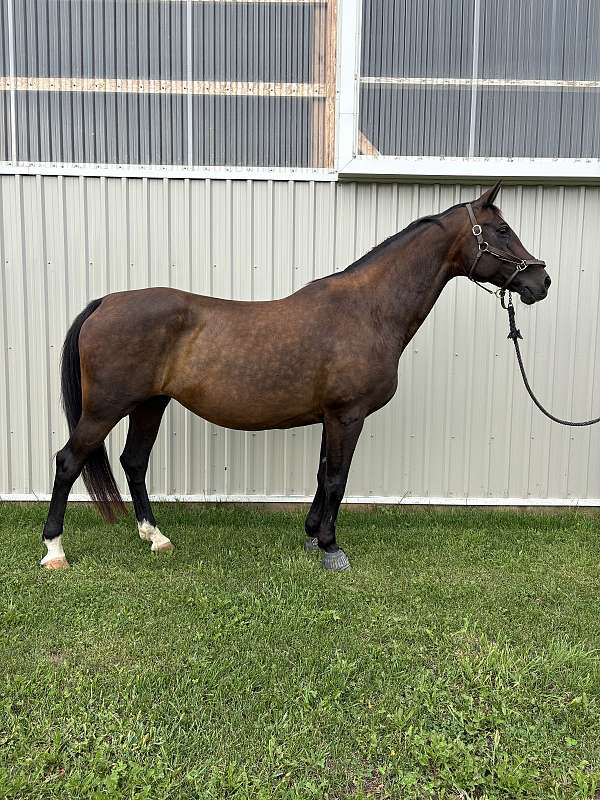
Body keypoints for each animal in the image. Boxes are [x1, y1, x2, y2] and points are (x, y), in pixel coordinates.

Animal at [40, 181, 551, 572]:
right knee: (68, 462)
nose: (540, 282)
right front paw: (331, 548)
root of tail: (105, 303)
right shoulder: (348, 415)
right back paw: (54, 552)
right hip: (105, 408)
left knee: (134, 462)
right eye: (502, 230)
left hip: (150, 404)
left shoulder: (332, 416)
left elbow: (324, 473)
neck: (369, 310)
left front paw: (311, 536)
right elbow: (337, 478)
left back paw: (156, 537)